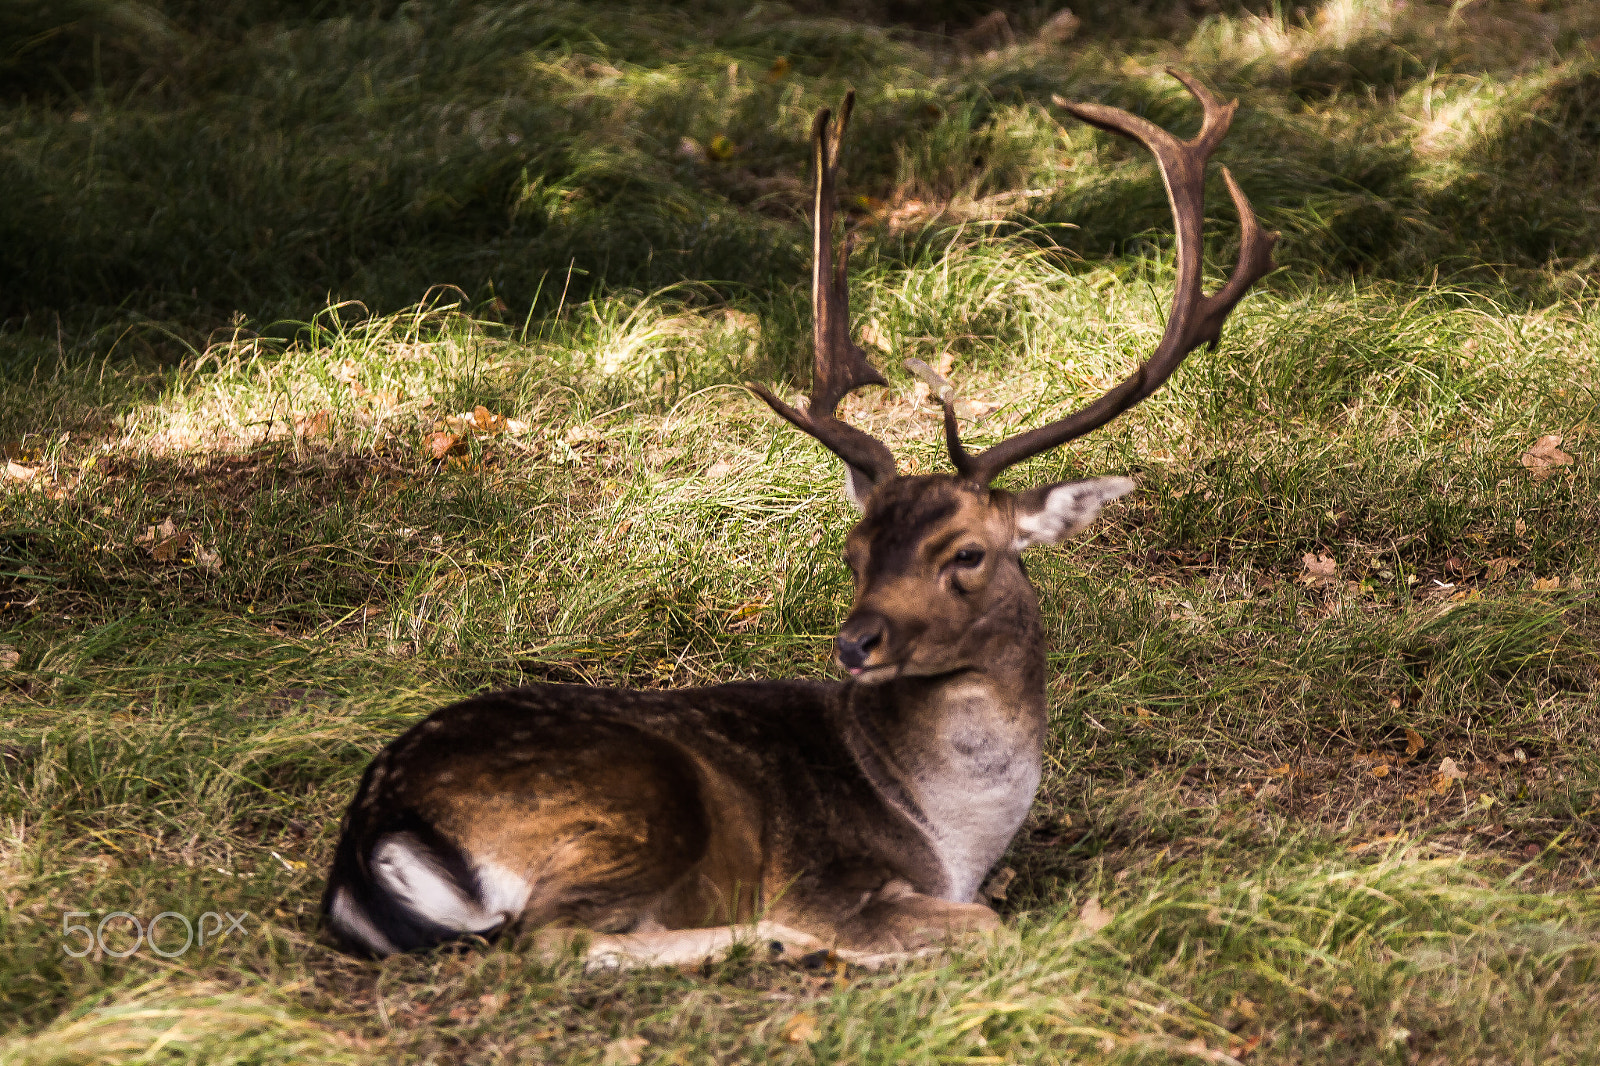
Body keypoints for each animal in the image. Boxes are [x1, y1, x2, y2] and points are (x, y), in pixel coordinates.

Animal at [321, 68, 1273, 960]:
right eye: (855, 550)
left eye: (965, 554)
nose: (855, 644)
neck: (955, 838)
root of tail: (374, 828)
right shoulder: (830, 874)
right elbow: (985, 925)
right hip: (639, 807)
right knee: (553, 938)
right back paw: (774, 941)